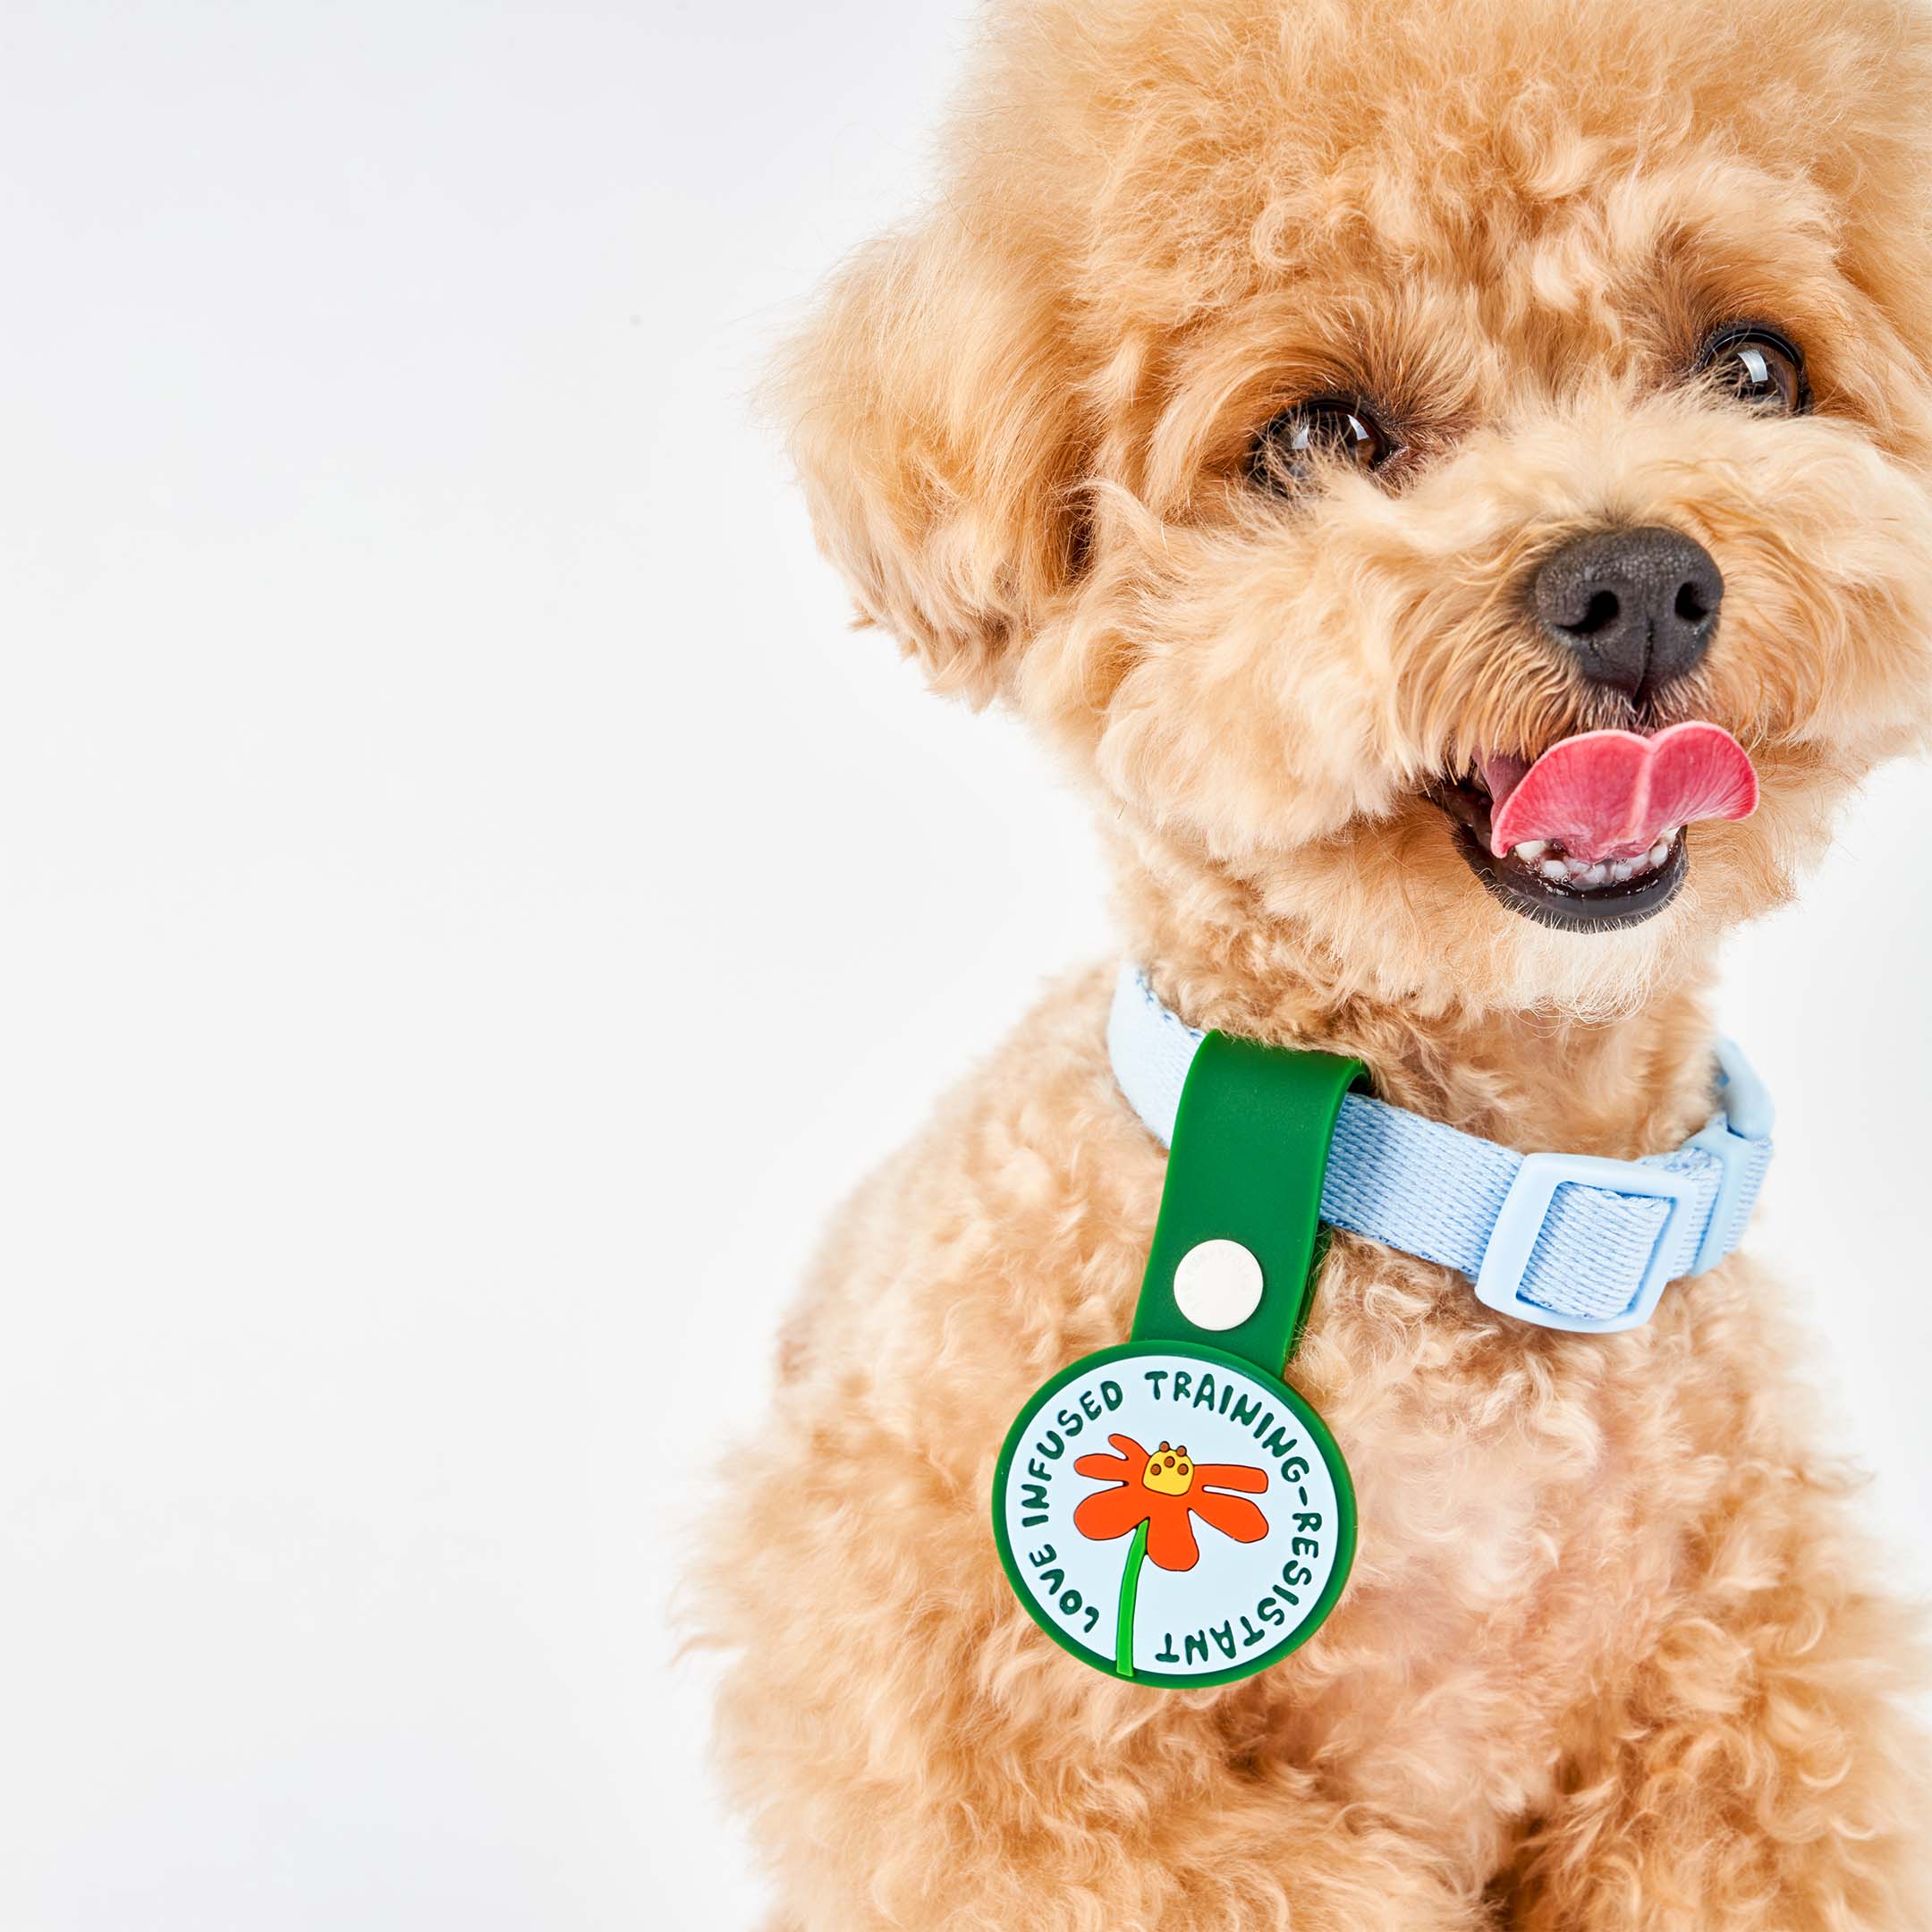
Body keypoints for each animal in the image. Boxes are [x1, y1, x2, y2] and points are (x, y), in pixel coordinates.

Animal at [703, 0, 1932, 1924]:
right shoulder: (1009, 1751)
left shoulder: (1740, 1731)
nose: (1636, 580)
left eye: (1751, 370)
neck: (1462, 1200)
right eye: (1319, 437)